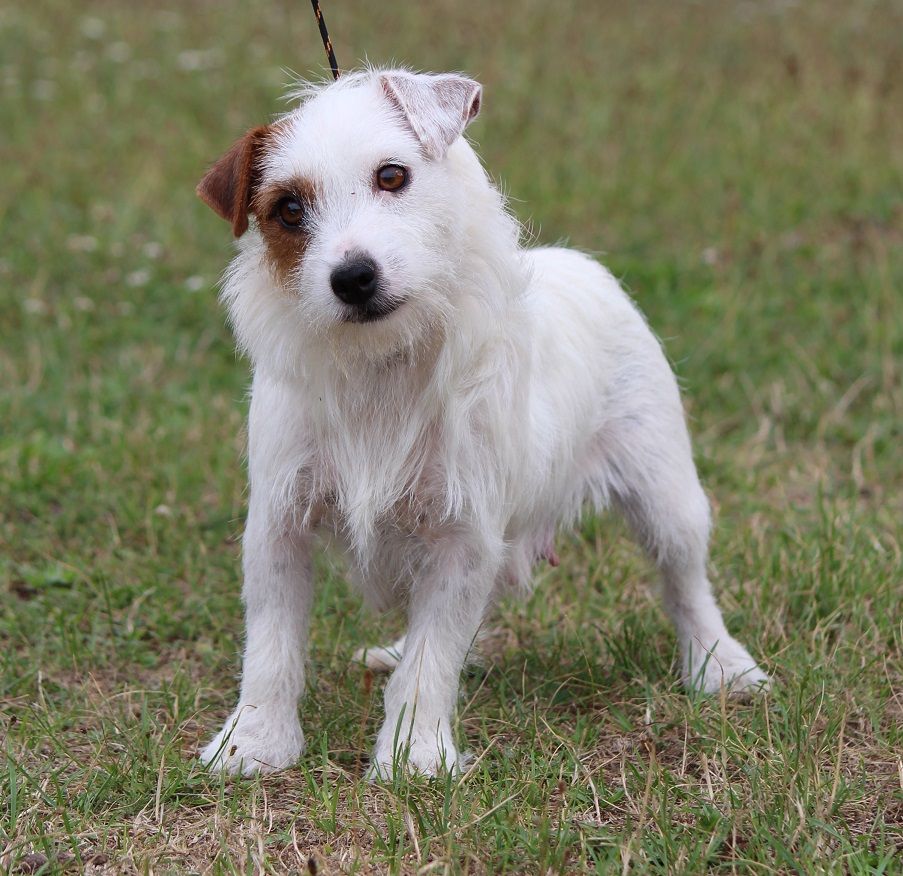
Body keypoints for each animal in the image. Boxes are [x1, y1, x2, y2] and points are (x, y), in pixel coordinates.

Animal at [194, 70, 768, 780]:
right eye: (290, 211)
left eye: (392, 176)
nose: (353, 278)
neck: (383, 367)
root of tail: (578, 262)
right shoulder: (281, 526)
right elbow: (271, 650)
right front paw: (255, 742)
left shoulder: (461, 534)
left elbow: (430, 663)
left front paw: (413, 755)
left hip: (667, 499)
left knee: (686, 585)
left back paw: (721, 667)